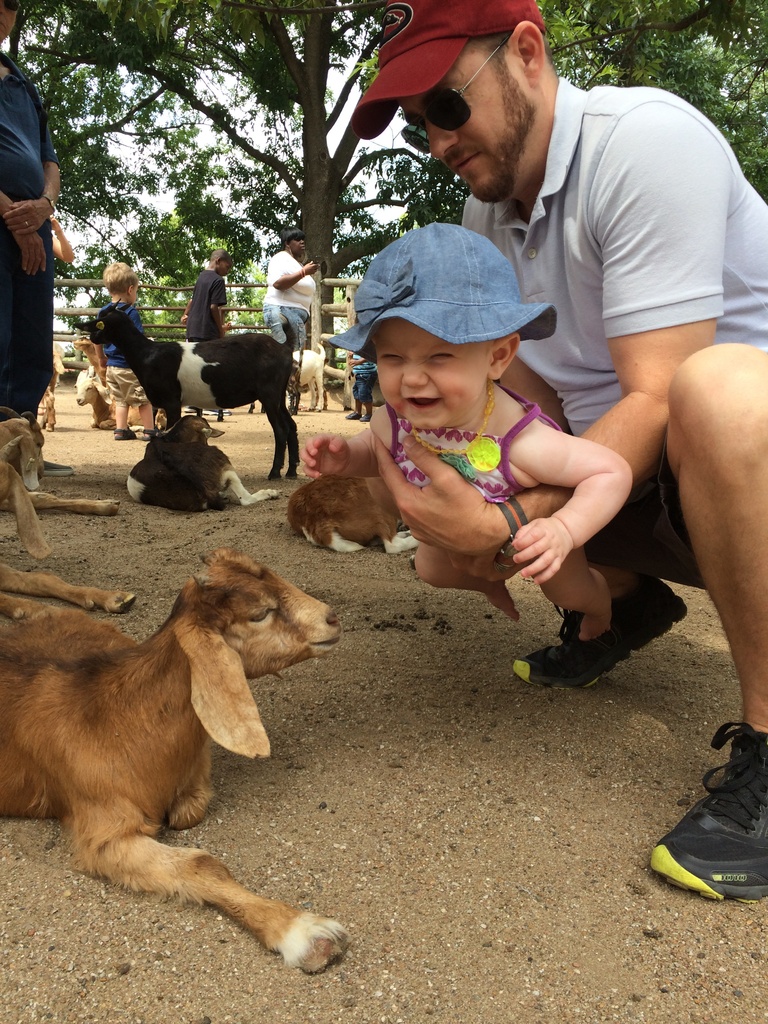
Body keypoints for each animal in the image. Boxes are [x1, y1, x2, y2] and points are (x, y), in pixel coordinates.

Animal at [0, 548, 348, 970]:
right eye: (259, 614)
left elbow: (188, 812)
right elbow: (200, 863)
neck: (118, 721)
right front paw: (303, 932)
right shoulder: (103, 832)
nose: (332, 618)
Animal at [79, 307, 299, 479]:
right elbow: (156, 432)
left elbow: (169, 431)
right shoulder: (157, 403)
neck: (147, 354)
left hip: (269, 394)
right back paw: (291, 471)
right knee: (291, 426)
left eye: (100, 322)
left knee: (281, 430)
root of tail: (284, 347)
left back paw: (274, 472)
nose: (84, 329)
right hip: (279, 396)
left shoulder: (171, 402)